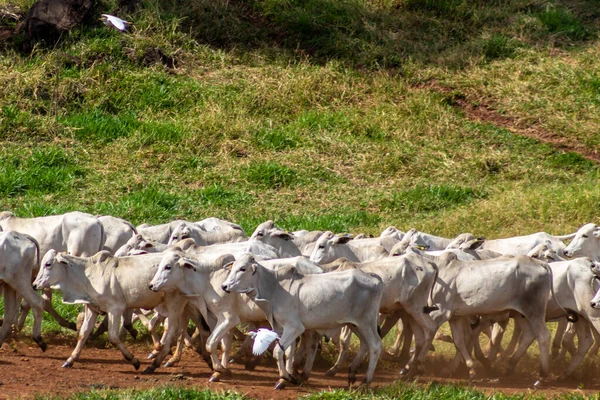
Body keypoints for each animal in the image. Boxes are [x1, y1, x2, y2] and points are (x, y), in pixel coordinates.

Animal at [33, 250, 188, 372]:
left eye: (48, 264)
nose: (34, 284)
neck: (87, 275)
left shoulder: (115, 309)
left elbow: (113, 336)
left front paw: (134, 361)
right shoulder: (92, 309)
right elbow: (83, 334)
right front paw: (70, 360)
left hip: (174, 304)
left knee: (172, 331)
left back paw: (156, 362)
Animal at [221, 255, 384, 390]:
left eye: (243, 269)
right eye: (233, 267)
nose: (224, 286)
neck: (274, 288)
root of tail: (372, 277)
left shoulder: (294, 327)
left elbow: (278, 351)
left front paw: (287, 377)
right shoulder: (283, 328)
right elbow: (288, 353)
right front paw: (287, 378)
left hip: (366, 322)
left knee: (375, 345)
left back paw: (365, 381)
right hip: (355, 324)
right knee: (365, 344)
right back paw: (351, 373)